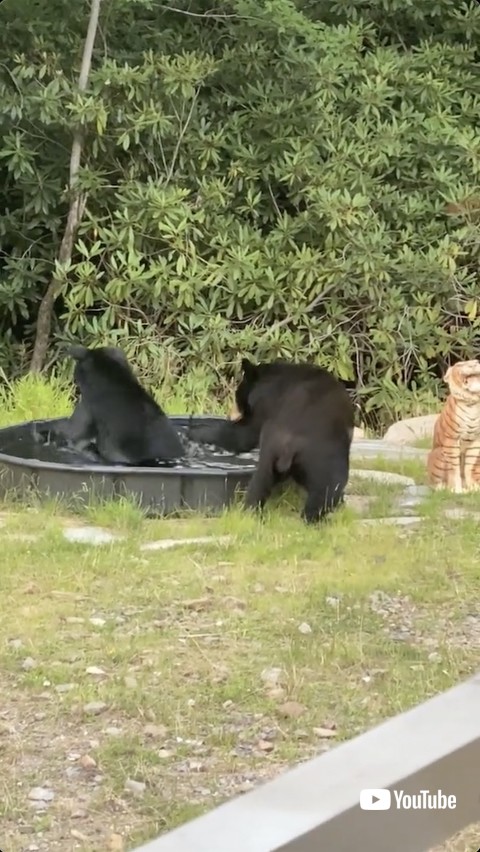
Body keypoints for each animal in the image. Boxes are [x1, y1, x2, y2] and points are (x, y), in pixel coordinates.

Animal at [195, 358, 355, 523]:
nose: (232, 412)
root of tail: (288, 446)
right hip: (324, 458)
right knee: (328, 490)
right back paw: (315, 519)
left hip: (269, 454)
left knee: (259, 482)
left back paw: (251, 512)